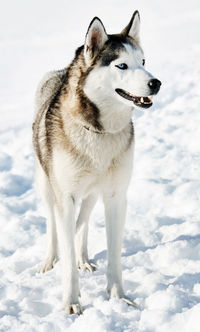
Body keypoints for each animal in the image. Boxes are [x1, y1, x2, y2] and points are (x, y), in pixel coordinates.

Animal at [32, 11, 161, 316]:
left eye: (143, 61)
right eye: (121, 65)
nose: (156, 83)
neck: (100, 132)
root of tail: (57, 72)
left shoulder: (116, 196)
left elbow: (114, 255)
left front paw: (118, 297)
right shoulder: (65, 197)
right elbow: (66, 254)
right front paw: (71, 302)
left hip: (92, 193)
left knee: (85, 222)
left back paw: (84, 258)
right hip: (47, 185)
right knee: (53, 226)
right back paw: (49, 260)